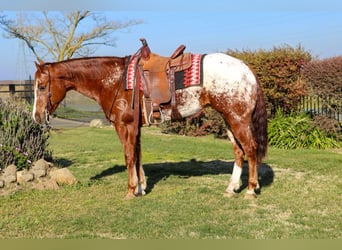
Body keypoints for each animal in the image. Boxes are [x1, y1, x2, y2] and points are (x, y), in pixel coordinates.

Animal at [32, 41, 268, 199]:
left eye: (42, 87)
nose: (36, 116)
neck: (115, 79)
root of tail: (247, 69)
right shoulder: (136, 127)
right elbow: (138, 156)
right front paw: (141, 187)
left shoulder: (124, 125)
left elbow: (129, 156)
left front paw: (130, 190)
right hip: (229, 120)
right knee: (238, 151)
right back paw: (231, 188)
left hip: (237, 119)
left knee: (250, 148)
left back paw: (250, 189)